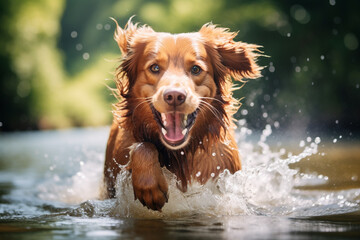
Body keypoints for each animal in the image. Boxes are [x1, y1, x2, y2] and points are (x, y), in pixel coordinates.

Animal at [104, 17, 262, 211]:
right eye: (154, 68)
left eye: (195, 69)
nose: (174, 96)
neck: (180, 153)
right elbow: (143, 146)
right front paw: (151, 188)